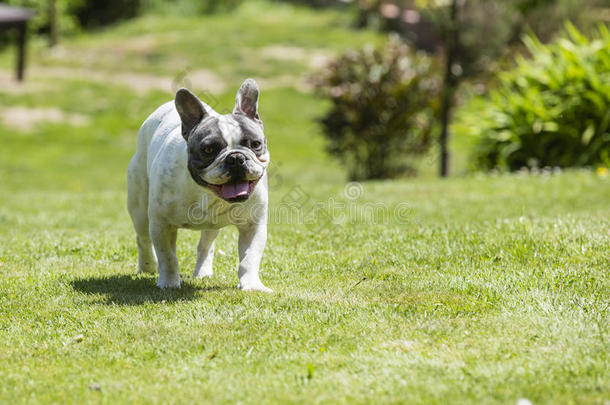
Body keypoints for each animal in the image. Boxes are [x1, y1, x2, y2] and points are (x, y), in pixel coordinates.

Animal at [126, 78, 270, 290]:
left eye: (256, 145)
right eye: (208, 149)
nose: (236, 158)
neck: (208, 194)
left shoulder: (253, 226)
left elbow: (250, 258)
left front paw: (251, 285)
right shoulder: (161, 224)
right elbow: (168, 257)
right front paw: (169, 283)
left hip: (211, 227)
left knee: (206, 245)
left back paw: (202, 272)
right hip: (139, 209)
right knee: (142, 238)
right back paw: (148, 266)